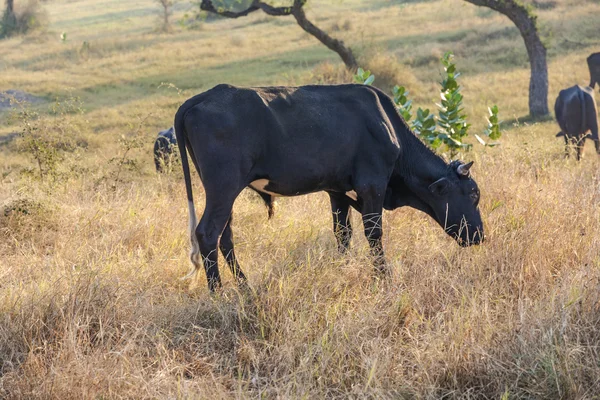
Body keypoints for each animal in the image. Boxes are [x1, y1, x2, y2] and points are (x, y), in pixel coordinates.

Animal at [176, 83, 486, 290]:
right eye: (473, 194)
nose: (480, 236)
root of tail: (203, 96)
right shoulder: (372, 184)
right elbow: (374, 233)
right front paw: (382, 277)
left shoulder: (337, 190)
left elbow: (343, 233)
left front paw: (342, 269)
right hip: (224, 187)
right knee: (208, 233)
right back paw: (218, 292)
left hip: (223, 192)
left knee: (225, 236)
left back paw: (244, 285)